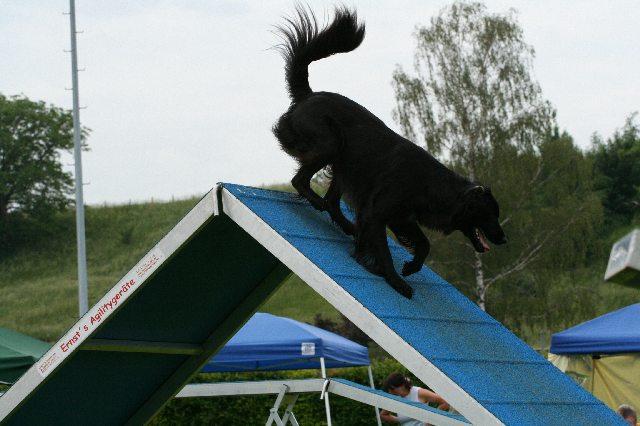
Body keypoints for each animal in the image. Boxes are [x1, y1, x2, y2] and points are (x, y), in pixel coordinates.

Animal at [273, 6, 507, 298]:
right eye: (489, 214)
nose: (504, 238)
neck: (431, 183)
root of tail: (308, 95)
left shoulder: (401, 216)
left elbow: (425, 244)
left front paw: (409, 266)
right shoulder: (379, 213)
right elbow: (384, 250)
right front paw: (394, 278)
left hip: (346, 163)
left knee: (332, 201)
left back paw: (346, 225)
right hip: (331, 144)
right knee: (301, 181)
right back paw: (320, 205)